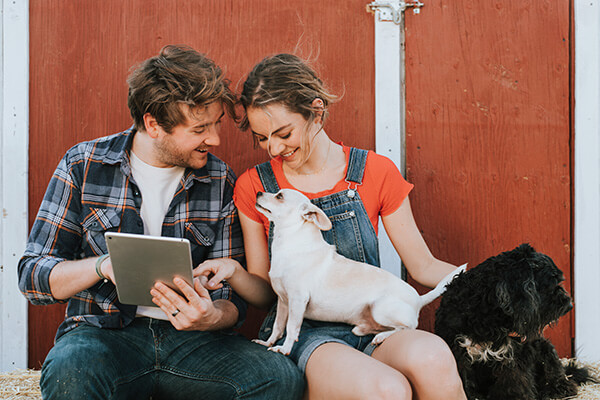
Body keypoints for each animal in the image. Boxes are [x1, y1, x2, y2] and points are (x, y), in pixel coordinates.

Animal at [251, 189, 466, 354]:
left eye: (279, 196)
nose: (259, 192)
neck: (289, 244)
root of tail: (419, 300)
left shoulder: (297, 300)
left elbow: (291, 328)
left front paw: (284, 349)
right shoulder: (283, 301)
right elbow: (278, 326)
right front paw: (268, 342)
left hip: (381, 308)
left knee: (407, 327)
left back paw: (382, 336)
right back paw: (365, 330)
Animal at [434, 242, 592, 398]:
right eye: (552, 284)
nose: (569, 305)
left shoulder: (515, 355)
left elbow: (514, 384)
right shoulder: (458, 353)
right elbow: (465, 383)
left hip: (544, 347)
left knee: (555, 369)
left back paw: (558, 389)